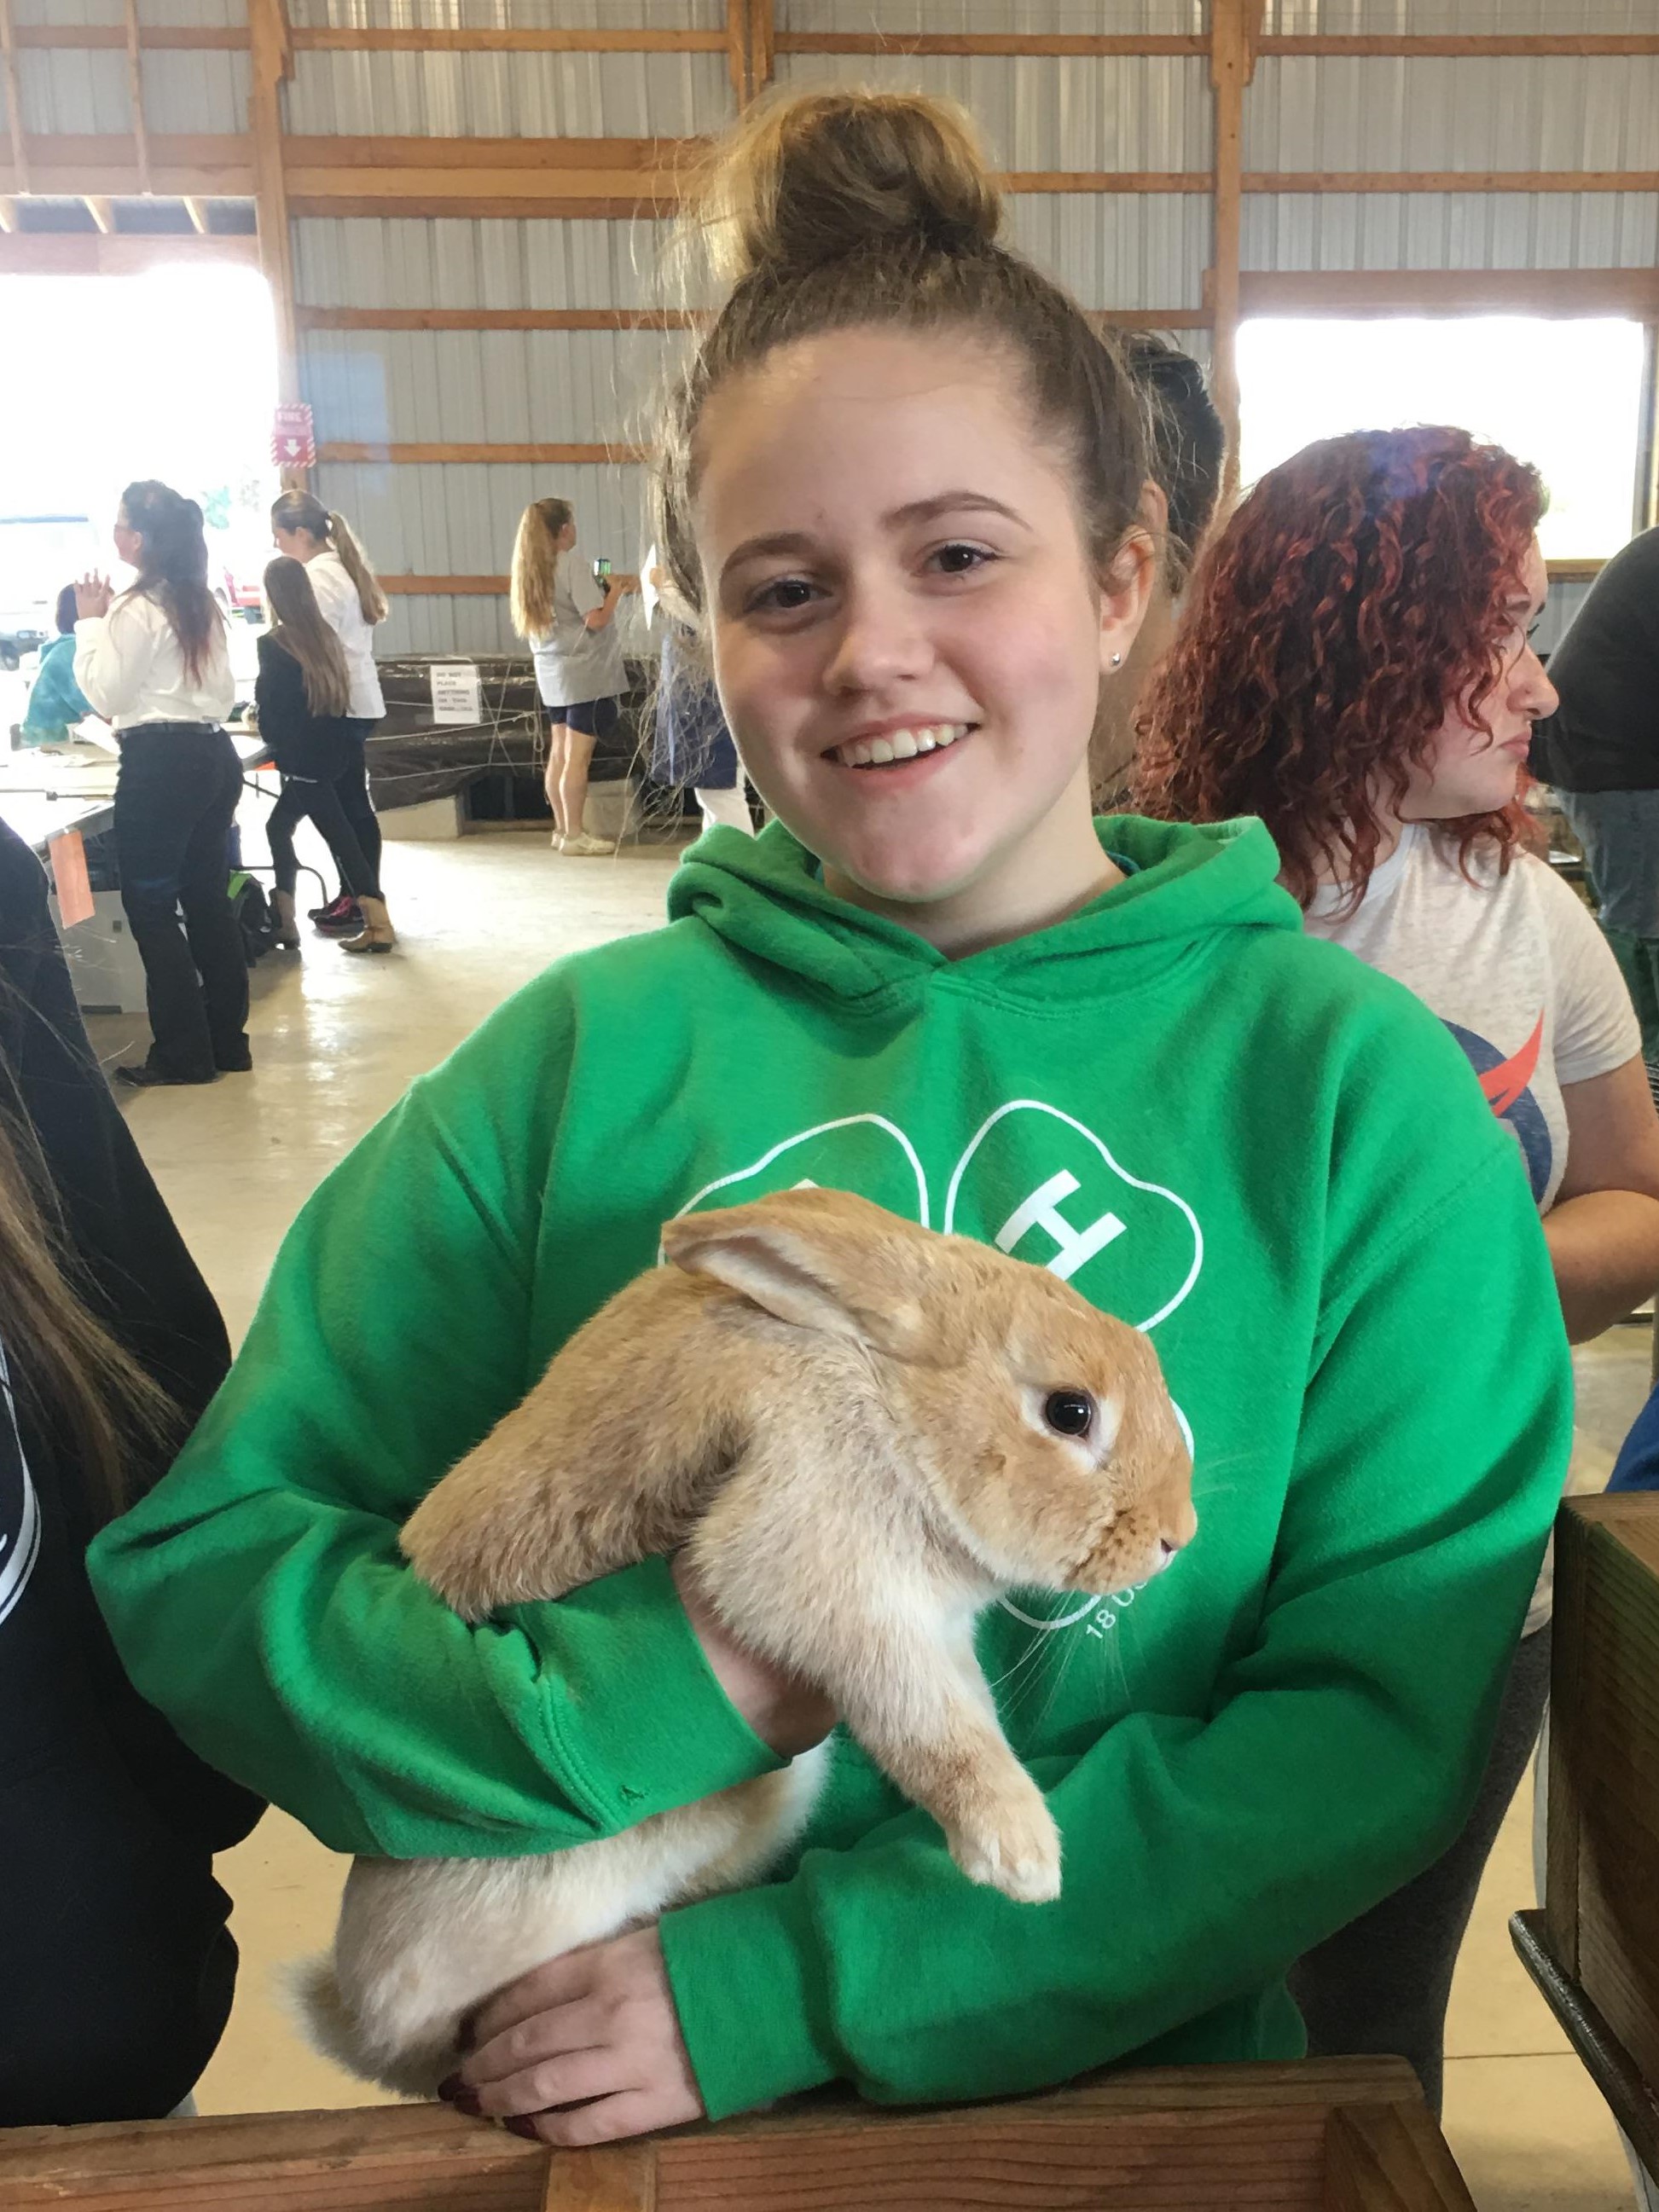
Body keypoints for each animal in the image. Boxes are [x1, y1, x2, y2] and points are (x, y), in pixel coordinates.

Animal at [298, 1186, 1195, 2098]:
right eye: (1069, 1412)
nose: (1176, 1536)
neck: (892, 1404)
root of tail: (355, 2017)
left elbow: (963, 1710)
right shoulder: (822, 1570)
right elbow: (937, 1727)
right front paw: (1023, 1858)